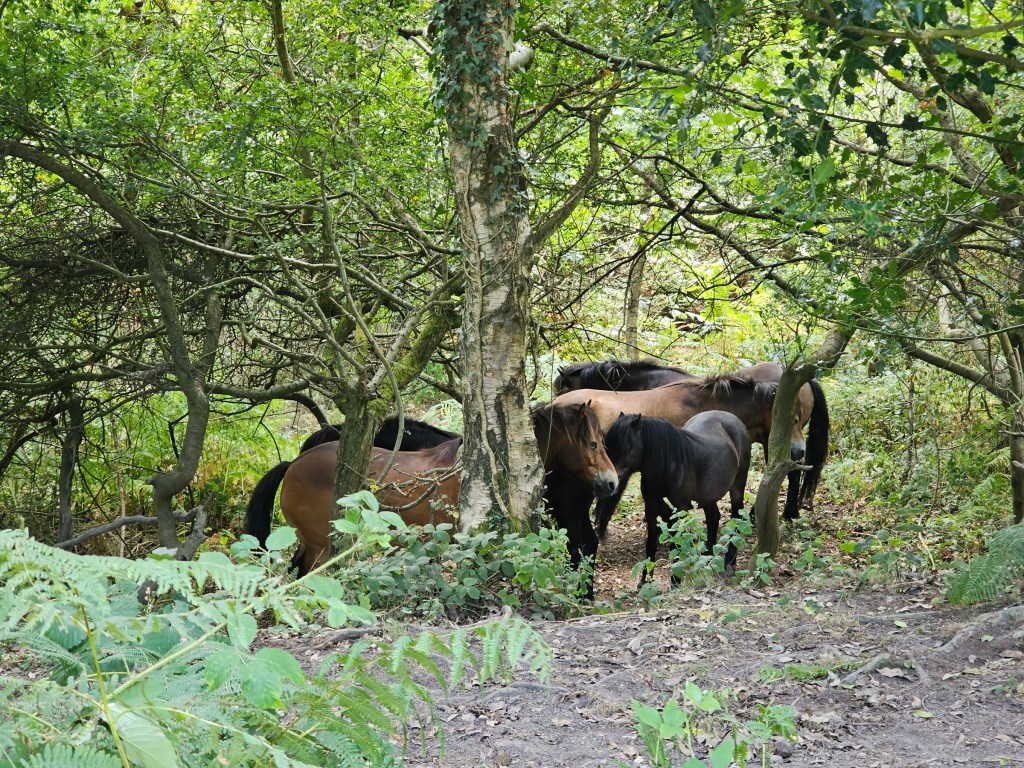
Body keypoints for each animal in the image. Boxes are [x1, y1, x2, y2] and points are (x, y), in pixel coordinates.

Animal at [604, 412, 752, 586]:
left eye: (629, 446)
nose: (611, 482)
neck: (667, 469)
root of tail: (734, 419)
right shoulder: (651, 511)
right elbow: (651, 545)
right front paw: (644, 582)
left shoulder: (678, 513)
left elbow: (676, 544)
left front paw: (675, 582)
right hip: (708, 497)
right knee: (713, 518)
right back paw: (707, 561)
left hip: (737, 488)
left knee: (736, 518)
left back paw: (729, 562)